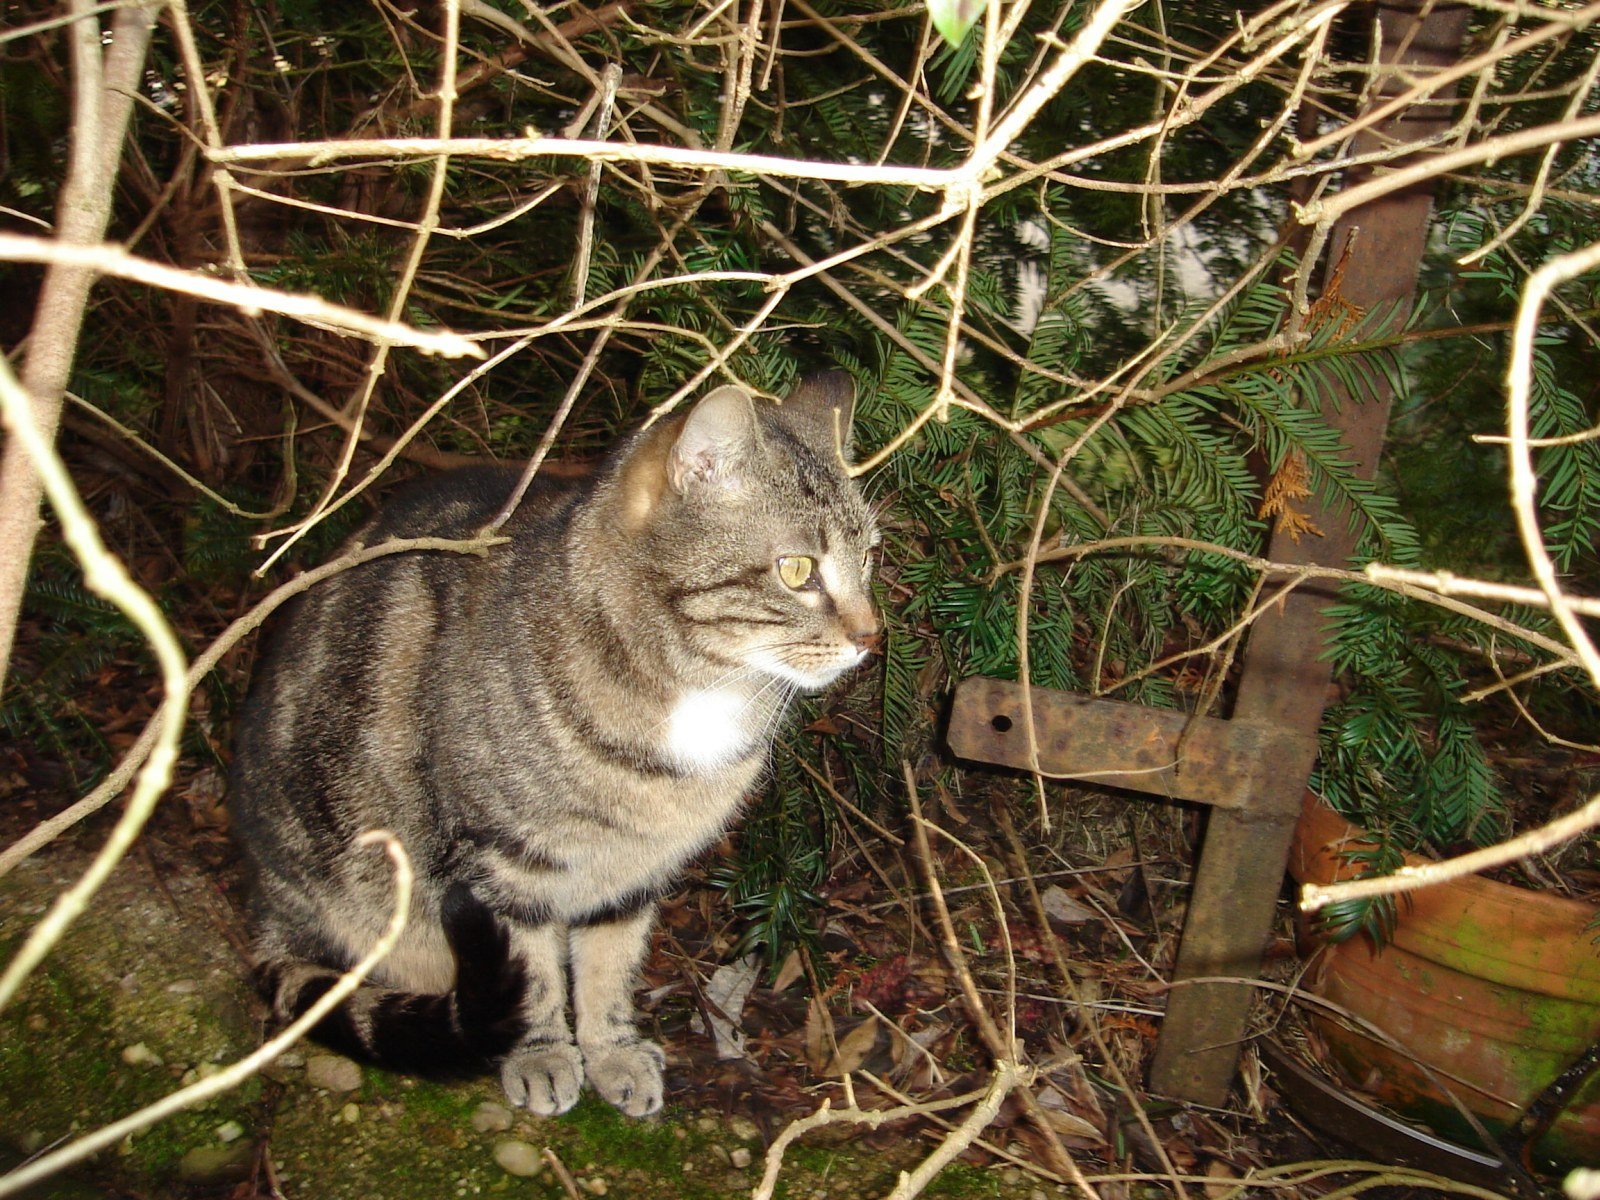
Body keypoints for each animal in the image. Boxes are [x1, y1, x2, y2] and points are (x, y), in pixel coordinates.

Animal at [228, 370, 879, 1117]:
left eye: (869, 558)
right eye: (797, 570)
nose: (872, 636)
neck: (696, 694)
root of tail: (266, 908)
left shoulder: (633, 871)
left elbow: (609, 963)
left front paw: (611, 1050)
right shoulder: (503, 862)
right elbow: (532, 971)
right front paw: (541, 1053)